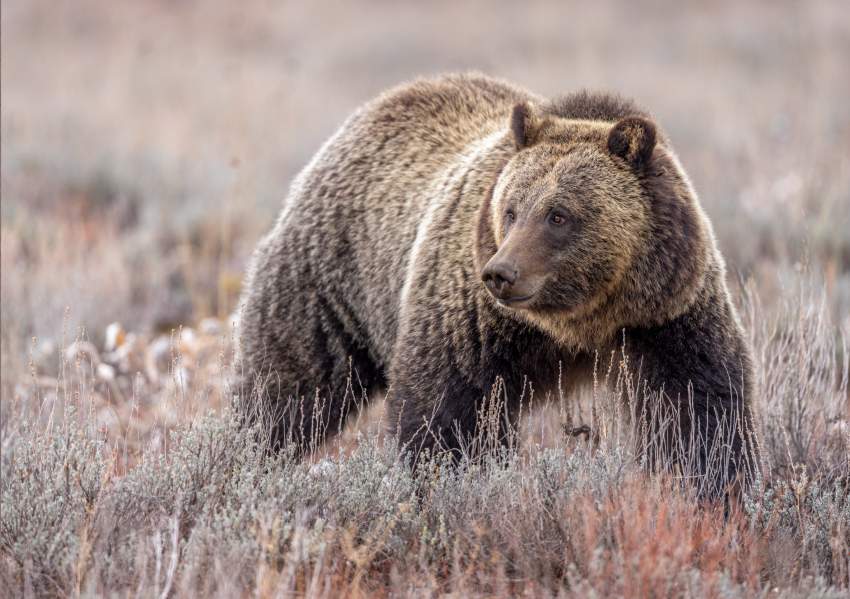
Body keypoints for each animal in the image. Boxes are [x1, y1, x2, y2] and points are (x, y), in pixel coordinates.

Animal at [235, 72, 760, 496]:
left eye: (558, 214)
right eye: (510, 209)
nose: (501, 273)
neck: (579, 323)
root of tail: (375, 107)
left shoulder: (666, 315)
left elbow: (699, 410)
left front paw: (714, 489)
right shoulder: (471, 320)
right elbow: (446, 412)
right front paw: (454, 483)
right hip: (330, 282)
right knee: (289, 386)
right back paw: (246, 454)